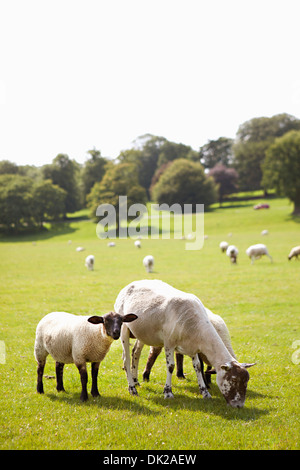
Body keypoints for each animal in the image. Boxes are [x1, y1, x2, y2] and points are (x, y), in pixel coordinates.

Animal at [115, 280, 255, 408]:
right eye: (233, 379)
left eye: (247, 380)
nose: (239, 405)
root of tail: (130, 284)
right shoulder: (169, 342)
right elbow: (170, 366)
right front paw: (168, 393)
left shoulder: (193, 347)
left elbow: (198, 366)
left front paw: (205, 393)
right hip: (124, 328)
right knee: (126, 359)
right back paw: (132, 389)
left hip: (142, 334)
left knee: (135, 353)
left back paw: (136, 381)